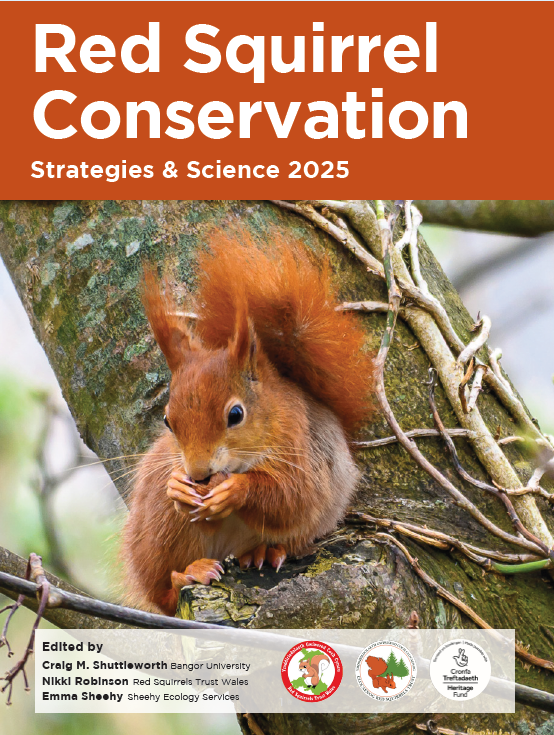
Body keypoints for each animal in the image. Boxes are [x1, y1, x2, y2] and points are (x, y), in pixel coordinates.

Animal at [121, 234, 374, 615]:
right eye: (167, 420)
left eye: (235, 415)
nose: (198, 475)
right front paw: (178, 487)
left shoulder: (302, 450)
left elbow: (294, 496)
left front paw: (235, 489)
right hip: (159, 530)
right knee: (162, 593)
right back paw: (188, 574)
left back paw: (263, 552)